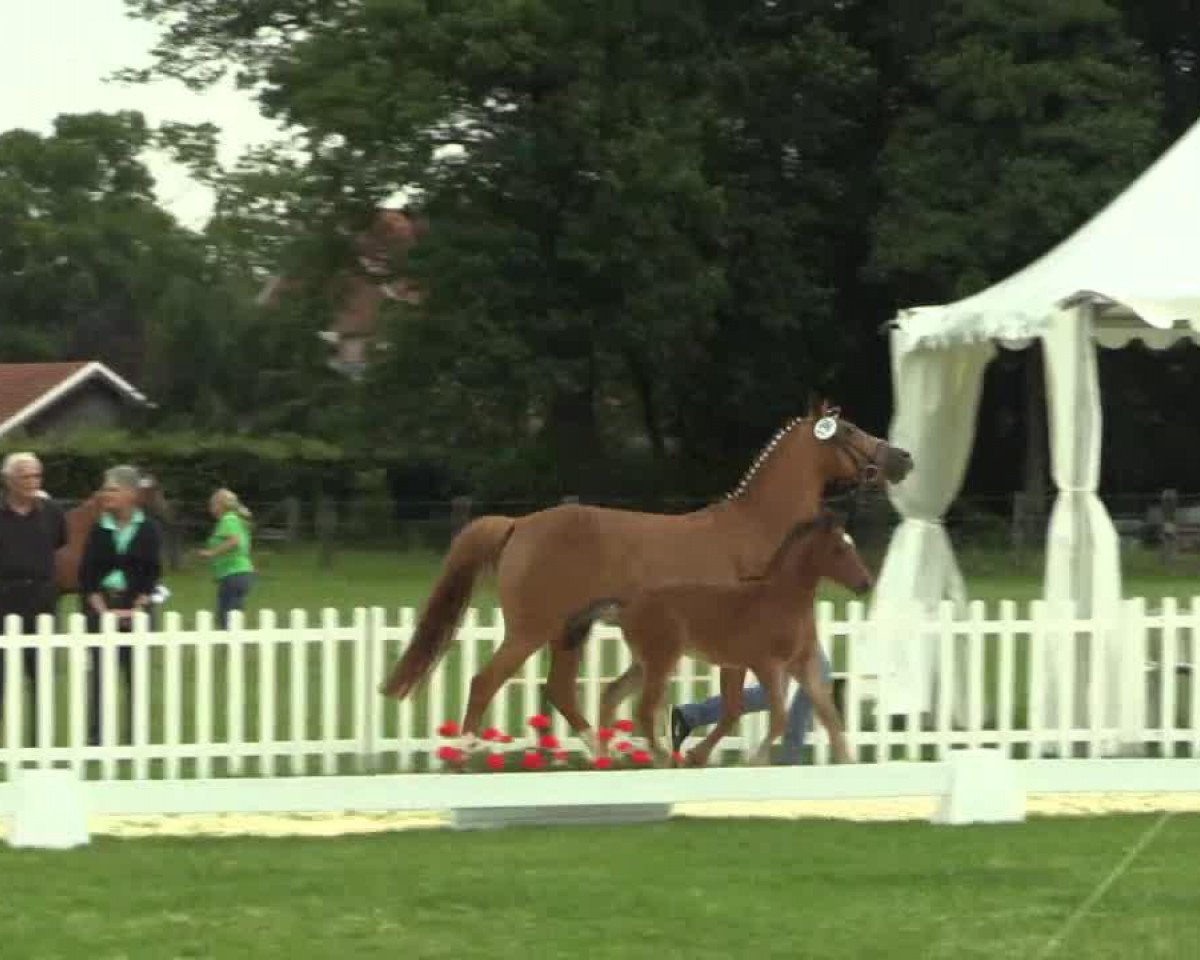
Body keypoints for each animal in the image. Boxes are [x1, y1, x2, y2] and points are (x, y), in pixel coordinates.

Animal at [564, 512, 871, 766]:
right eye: (839, 549)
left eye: (852, 544)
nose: (865, 584)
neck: (781, 600)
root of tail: (626, 606)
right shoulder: (767, 665)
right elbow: (778, 717)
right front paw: (755, 761)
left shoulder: (796, 665)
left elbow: (827, 714)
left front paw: (847, 761)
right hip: (662, 661)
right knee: (644, 709)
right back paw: (661, 758)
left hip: (644, 663)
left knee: (612, 693)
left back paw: (606, 759)